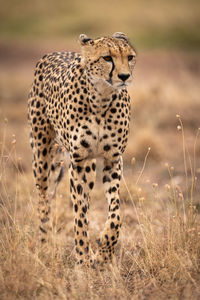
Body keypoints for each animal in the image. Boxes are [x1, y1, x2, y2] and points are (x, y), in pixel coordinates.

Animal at [28, 31, 137, 264]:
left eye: (130, 57)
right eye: (107, 58)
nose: (124, 76)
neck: (102, 98)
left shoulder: (112, 160)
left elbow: (115, 213)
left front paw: (104, 250)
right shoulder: (78, 161)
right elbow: (79, 213)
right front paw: (82, 256)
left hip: (88, 166)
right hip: (42, 155)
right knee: (44, 200)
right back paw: (43, 244)